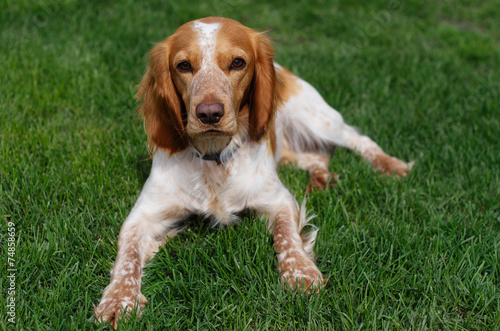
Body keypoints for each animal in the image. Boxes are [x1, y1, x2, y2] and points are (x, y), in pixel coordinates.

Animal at [95, 16, 412, 328]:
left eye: (238, 62)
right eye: (183, 65)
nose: (209, 113)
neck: (214, 158)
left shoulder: (278, 200)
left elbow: (288, 237)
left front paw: (301, 273)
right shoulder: (143, 215)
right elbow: (127, 255)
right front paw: (117, 300)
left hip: (317, 120)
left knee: (356, 138)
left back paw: (390, 165)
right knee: (316, 156)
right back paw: (321, 180)